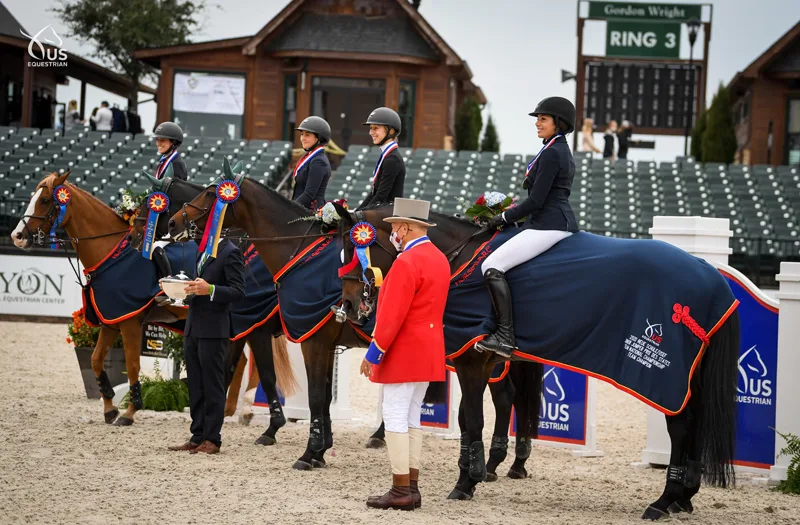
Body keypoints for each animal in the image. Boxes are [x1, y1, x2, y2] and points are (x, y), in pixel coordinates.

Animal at [129, 173, 296, 446]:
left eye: (150, 204)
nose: (133, 237)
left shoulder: (253, 328)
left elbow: (263, 375)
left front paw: (270, 428)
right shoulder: (238, 327)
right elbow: (227, 371)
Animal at [330, 203, 736, 516]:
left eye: (352, 247)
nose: (347, 305)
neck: (458, 259)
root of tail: (712, 278)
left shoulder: (470, 362)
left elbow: (471, 420)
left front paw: (465, 482)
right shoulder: (479, 361)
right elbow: (474, 416)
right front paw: (474, 474)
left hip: (666, 378)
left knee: (681, 426)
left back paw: (662, 502)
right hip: (690, 377)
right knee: (694, 422)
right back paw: (683, 498)